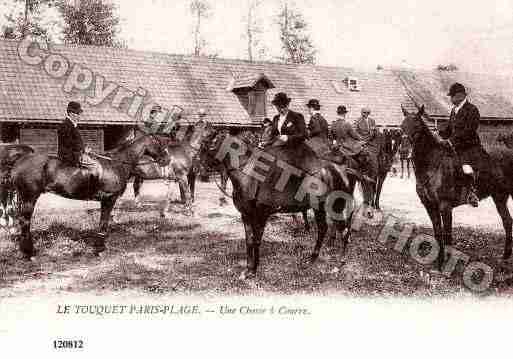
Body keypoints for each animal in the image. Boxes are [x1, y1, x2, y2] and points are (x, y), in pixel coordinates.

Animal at [2, 134, 170, 260]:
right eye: (159, 142)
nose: (167, 160)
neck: (117, 163)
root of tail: (20, 159)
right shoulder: (109, 199)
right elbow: (103, 223)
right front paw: (99, 249)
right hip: (30, 197)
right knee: (25, 221)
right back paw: (30, 253)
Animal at [198, 128, 362, 280]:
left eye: (209, 143)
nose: (201, 170)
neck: (248, 173)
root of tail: (344, 169)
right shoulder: (246, 215)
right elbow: (249, 240)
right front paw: (247, 270)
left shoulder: (261, 214)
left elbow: (256, 240)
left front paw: (253, 270)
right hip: (320, 208)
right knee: (324, 229)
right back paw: (312, 260)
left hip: (336, 206)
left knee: (344, 231)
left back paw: (338, 265)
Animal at [400, 105, 512, 272]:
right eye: (401, 127)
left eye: (417, 128)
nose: (403, 152)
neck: (432, 163)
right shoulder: (430, 206)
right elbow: (438, 233)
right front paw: (438, 262)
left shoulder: (445, 206)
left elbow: (447, 234)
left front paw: (446, 264)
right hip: (499, 197)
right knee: (508, 222)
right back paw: (504, 258)